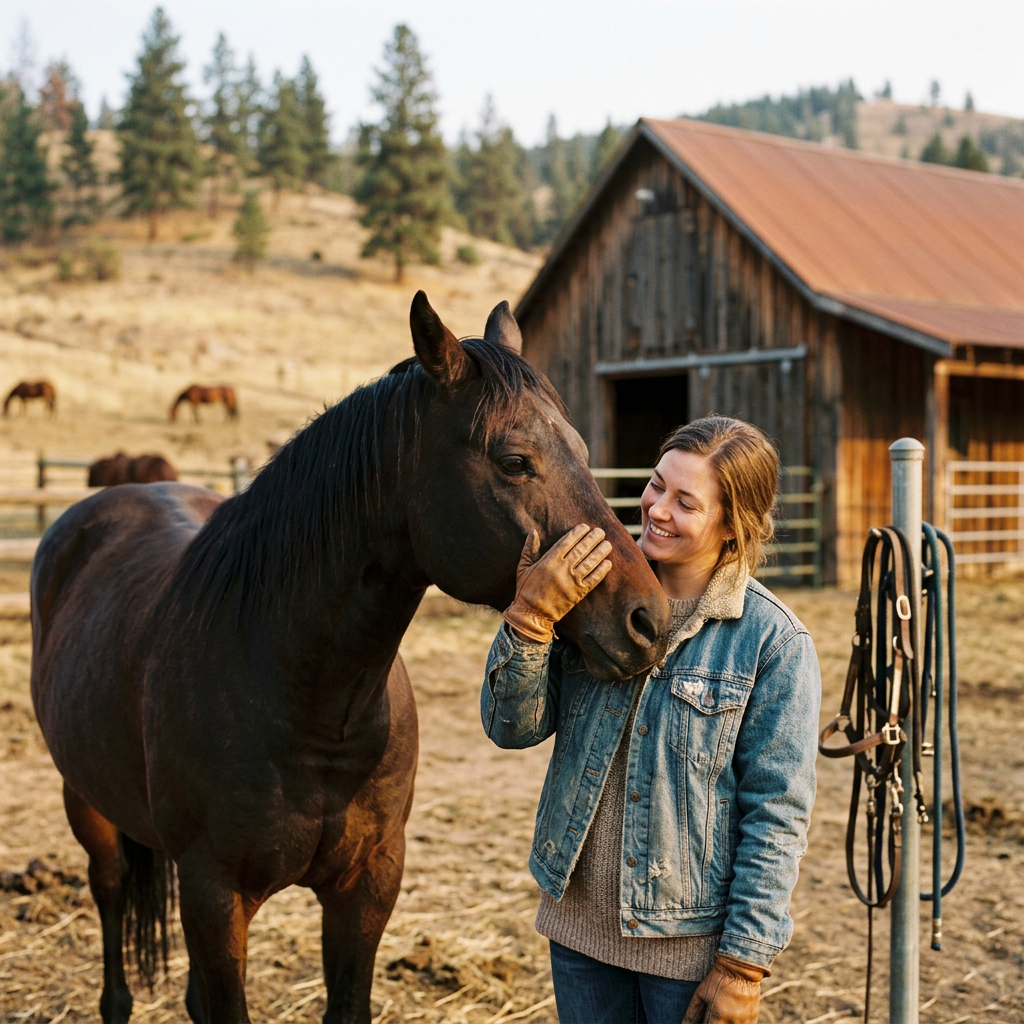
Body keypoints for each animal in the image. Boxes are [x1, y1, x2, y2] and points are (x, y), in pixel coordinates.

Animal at [31, 291, 671, 1024]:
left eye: (582, 451)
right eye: (514, 460)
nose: (649, 620)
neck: (311, 700)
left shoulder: (368, 886)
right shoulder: (213, 897)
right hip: (91, 810)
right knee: (110, 906)